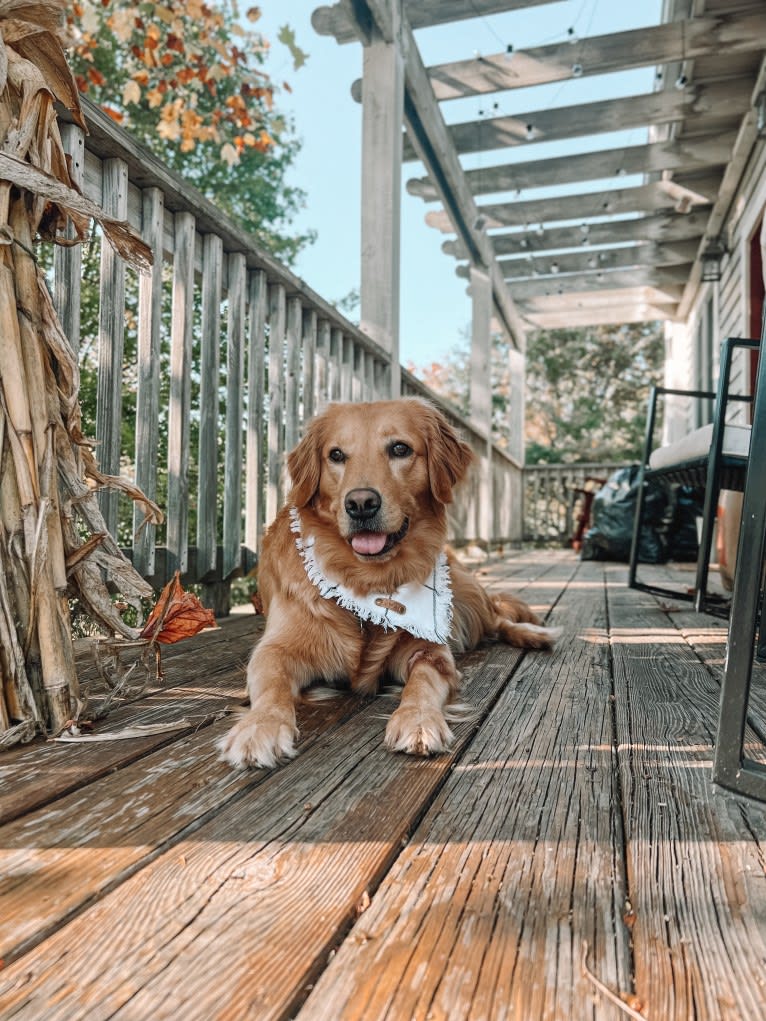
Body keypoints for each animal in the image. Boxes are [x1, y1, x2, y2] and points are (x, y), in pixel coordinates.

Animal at [218, 398, 555, 767]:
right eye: (336, 455)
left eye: (399, 449)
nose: (361, 504)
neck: (365, 582)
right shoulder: (276, 648)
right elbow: (272, 684)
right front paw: (260, 727)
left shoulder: (429, 647)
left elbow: (424, 680)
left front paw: (418, 719)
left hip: (467, 593)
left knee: (497, 617)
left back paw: (534, 634)